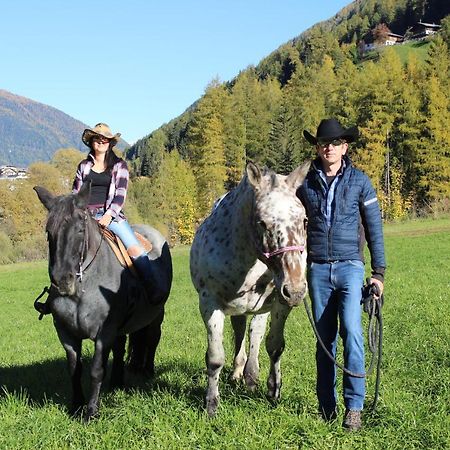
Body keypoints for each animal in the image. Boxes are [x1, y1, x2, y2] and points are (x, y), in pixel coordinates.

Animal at [189, 159, 310, 414]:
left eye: (304, 221)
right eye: (262, 222)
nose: (295, 291)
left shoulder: (279, 303)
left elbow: (274, 346)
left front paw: (273, 390)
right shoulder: (210, 304)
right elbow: (215, 358)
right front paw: (211, 404)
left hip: (261, 307)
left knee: (254, 333)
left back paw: (251, 376)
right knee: (240, 332)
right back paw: (238, 372)